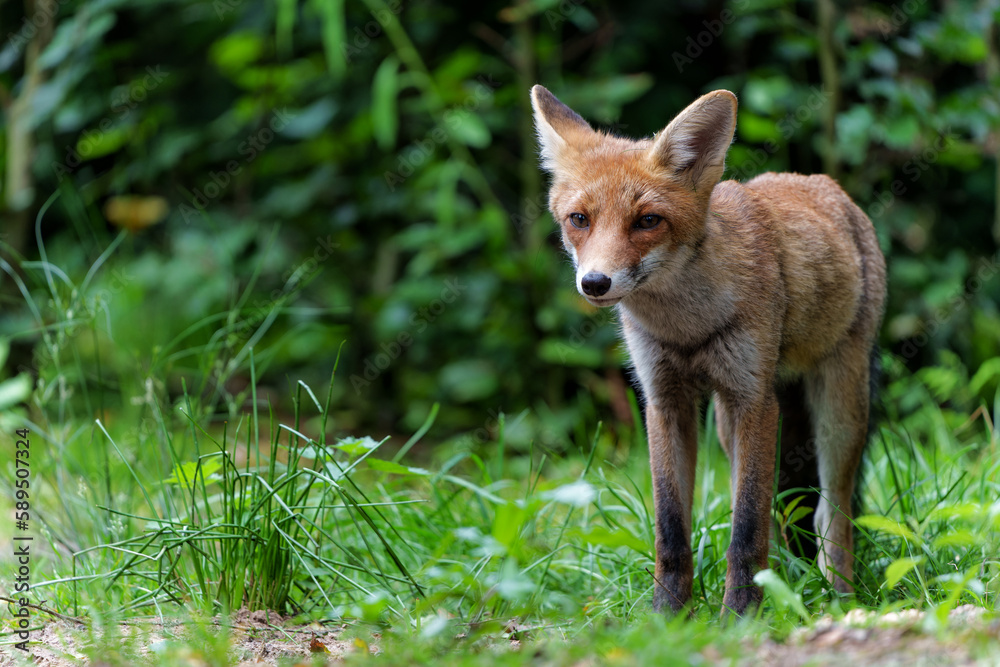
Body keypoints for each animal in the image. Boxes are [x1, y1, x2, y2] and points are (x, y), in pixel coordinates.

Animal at [536, 85, 888, 616]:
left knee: (830, 512)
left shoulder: (755, 402)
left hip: (837, 412)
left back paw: (838, 598)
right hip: (726, 425)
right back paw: (781, 585)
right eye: (579, 220)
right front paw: (668, 616)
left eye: (647, 221)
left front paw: (739, 617)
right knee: (779, 517)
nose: (595, 283)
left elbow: (745, 529)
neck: (686, 327)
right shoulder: (665, 402)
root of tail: (825, 185)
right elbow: (671, 531)